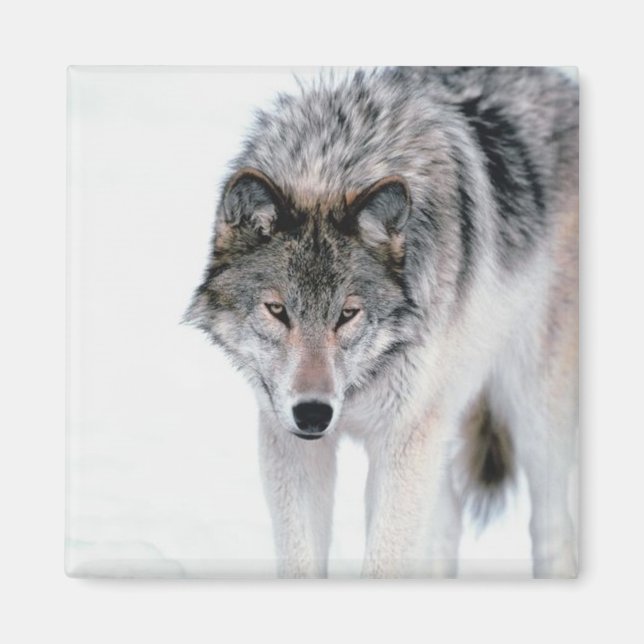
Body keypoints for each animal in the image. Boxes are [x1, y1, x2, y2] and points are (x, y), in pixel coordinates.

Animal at [186, 67, 579, 578]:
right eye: (278, 310)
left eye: (347, 314)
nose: (313, 414)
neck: (333, 165)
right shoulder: (292, 442)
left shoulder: (402, 440)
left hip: (532, 413)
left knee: (553, 526)